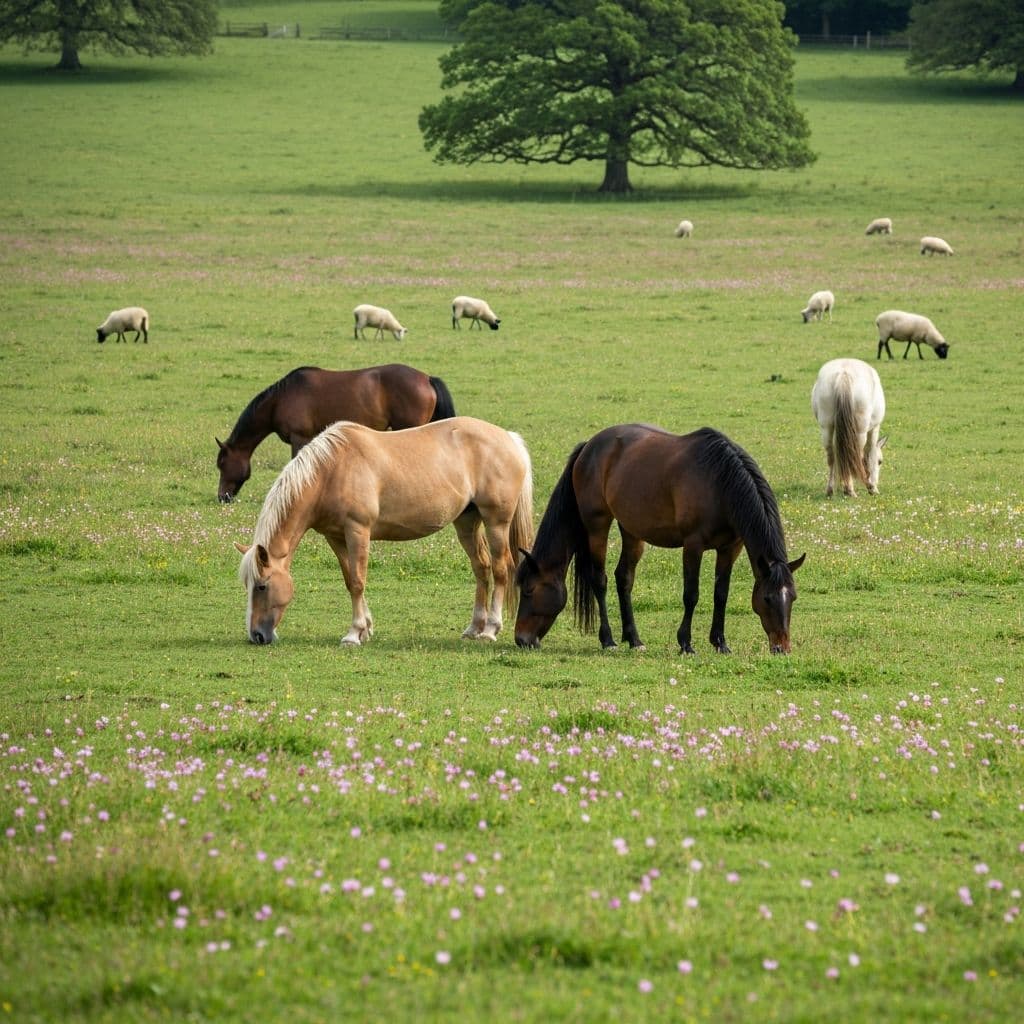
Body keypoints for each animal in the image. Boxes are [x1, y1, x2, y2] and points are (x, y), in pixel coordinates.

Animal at [235, 416, 534, 647]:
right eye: (247, 585)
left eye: (262, 586)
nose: (256, 635)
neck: (331, 471)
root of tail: (509, 439)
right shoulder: (335, 536)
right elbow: (349, 579)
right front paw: (365, 628)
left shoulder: (358, 531)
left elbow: (358, 580)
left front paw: (354, 634)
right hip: (467, 522)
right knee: (481, 568)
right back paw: (474, 627)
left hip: (496, 523)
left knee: (500, 569)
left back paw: (490, 629)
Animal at [514, 424, 805, 655]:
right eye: (767, 598)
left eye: (792, 597)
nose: (782, 648)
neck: (719, 483)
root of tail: (589, 447)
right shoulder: (693, 545)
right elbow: (691, 594)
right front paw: (686, 643)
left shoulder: (730, 548)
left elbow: (721, 594)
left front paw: (720, 643)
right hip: (597, 524)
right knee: (600, 580)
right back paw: (608, 640)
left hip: (632, 529)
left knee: (624, 578)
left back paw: (634, 639)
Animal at [811, 358, 887, 497]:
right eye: (880, 461)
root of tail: (843, 375)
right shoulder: (874, 429)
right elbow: (869, 453)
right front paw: (872, 487)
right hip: (860, 432)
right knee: (854, 455)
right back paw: (850, 490)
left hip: (827, 428)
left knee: (831, 456)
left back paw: (831, 489)